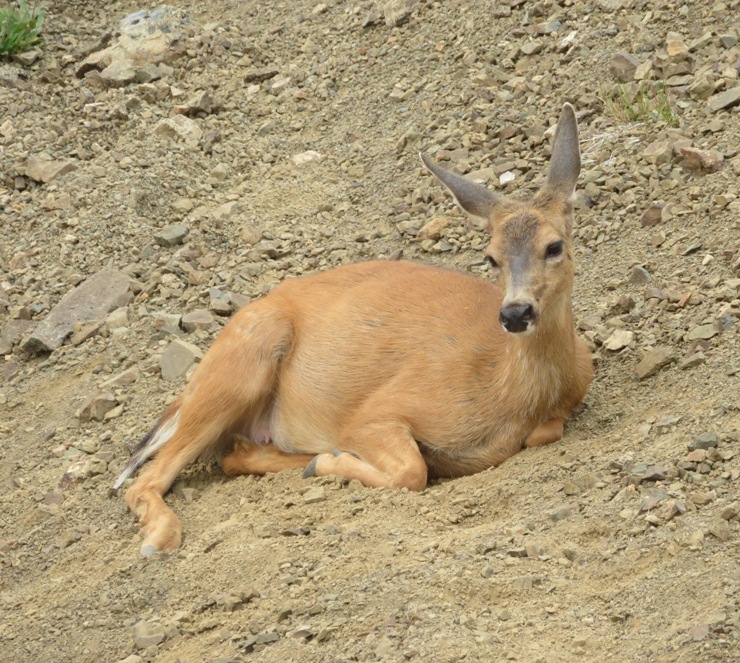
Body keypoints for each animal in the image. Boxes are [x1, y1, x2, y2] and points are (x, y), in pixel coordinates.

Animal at [112, 104, 592, 556]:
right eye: (490, 256)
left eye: (554, 246)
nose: (514, 313)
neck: (508, 391)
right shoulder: (378, 411)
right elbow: (412, 471)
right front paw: (329, 464)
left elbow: (543, 433)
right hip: (245, 358)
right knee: (145, 479)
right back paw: (160, 537)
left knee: (228, 456)